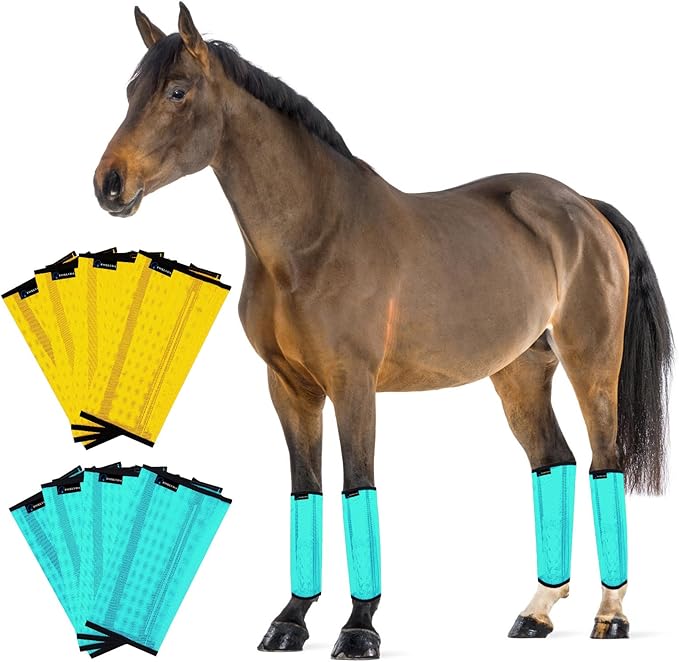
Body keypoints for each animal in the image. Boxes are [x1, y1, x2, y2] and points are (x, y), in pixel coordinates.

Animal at [94, 4, 672, 657]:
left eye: (176, 91)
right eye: (129, 92)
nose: (109, 183)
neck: (312, 238)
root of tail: (584, 207)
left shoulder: (353, 385)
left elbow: (357, 487)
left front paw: (358, 627)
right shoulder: (288, 389)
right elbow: (305, 490)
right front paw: (290, 621)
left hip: (591, 363)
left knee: (605, 462)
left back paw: (612, 615)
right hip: (520, 375)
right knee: (555, 461)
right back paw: (537, 612)